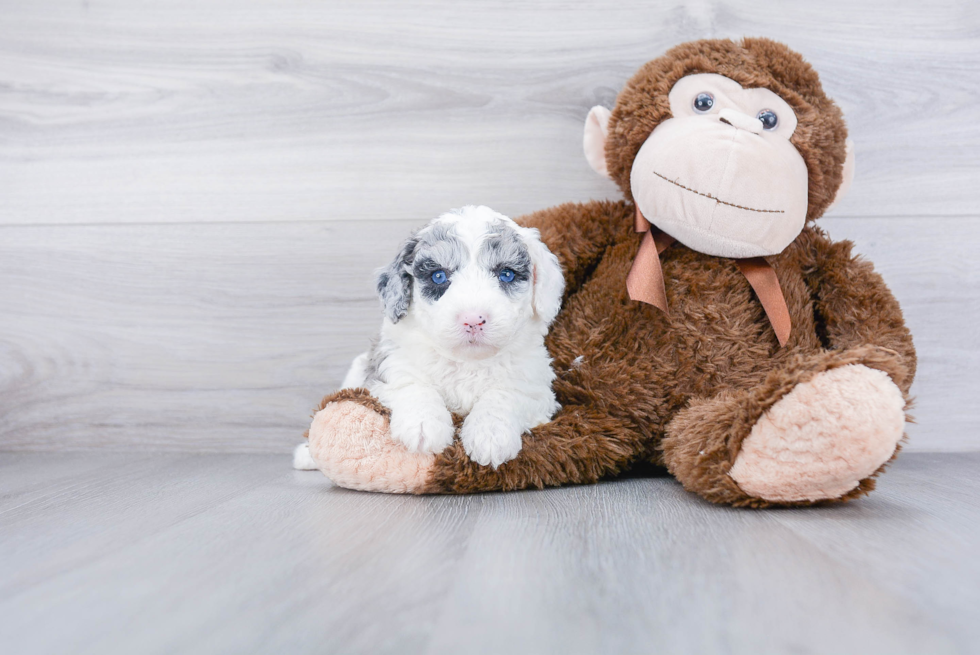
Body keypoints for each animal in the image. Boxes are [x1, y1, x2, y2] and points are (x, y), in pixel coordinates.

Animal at [294, 206, 564, 472]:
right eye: (438, 276)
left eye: (506, 274)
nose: (473, 319)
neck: (467, 361)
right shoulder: (390, 363)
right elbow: (413, 385)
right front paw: (423, 424)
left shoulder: (535, 387)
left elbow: (505, 394)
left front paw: (491, 434)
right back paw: (307, 456)